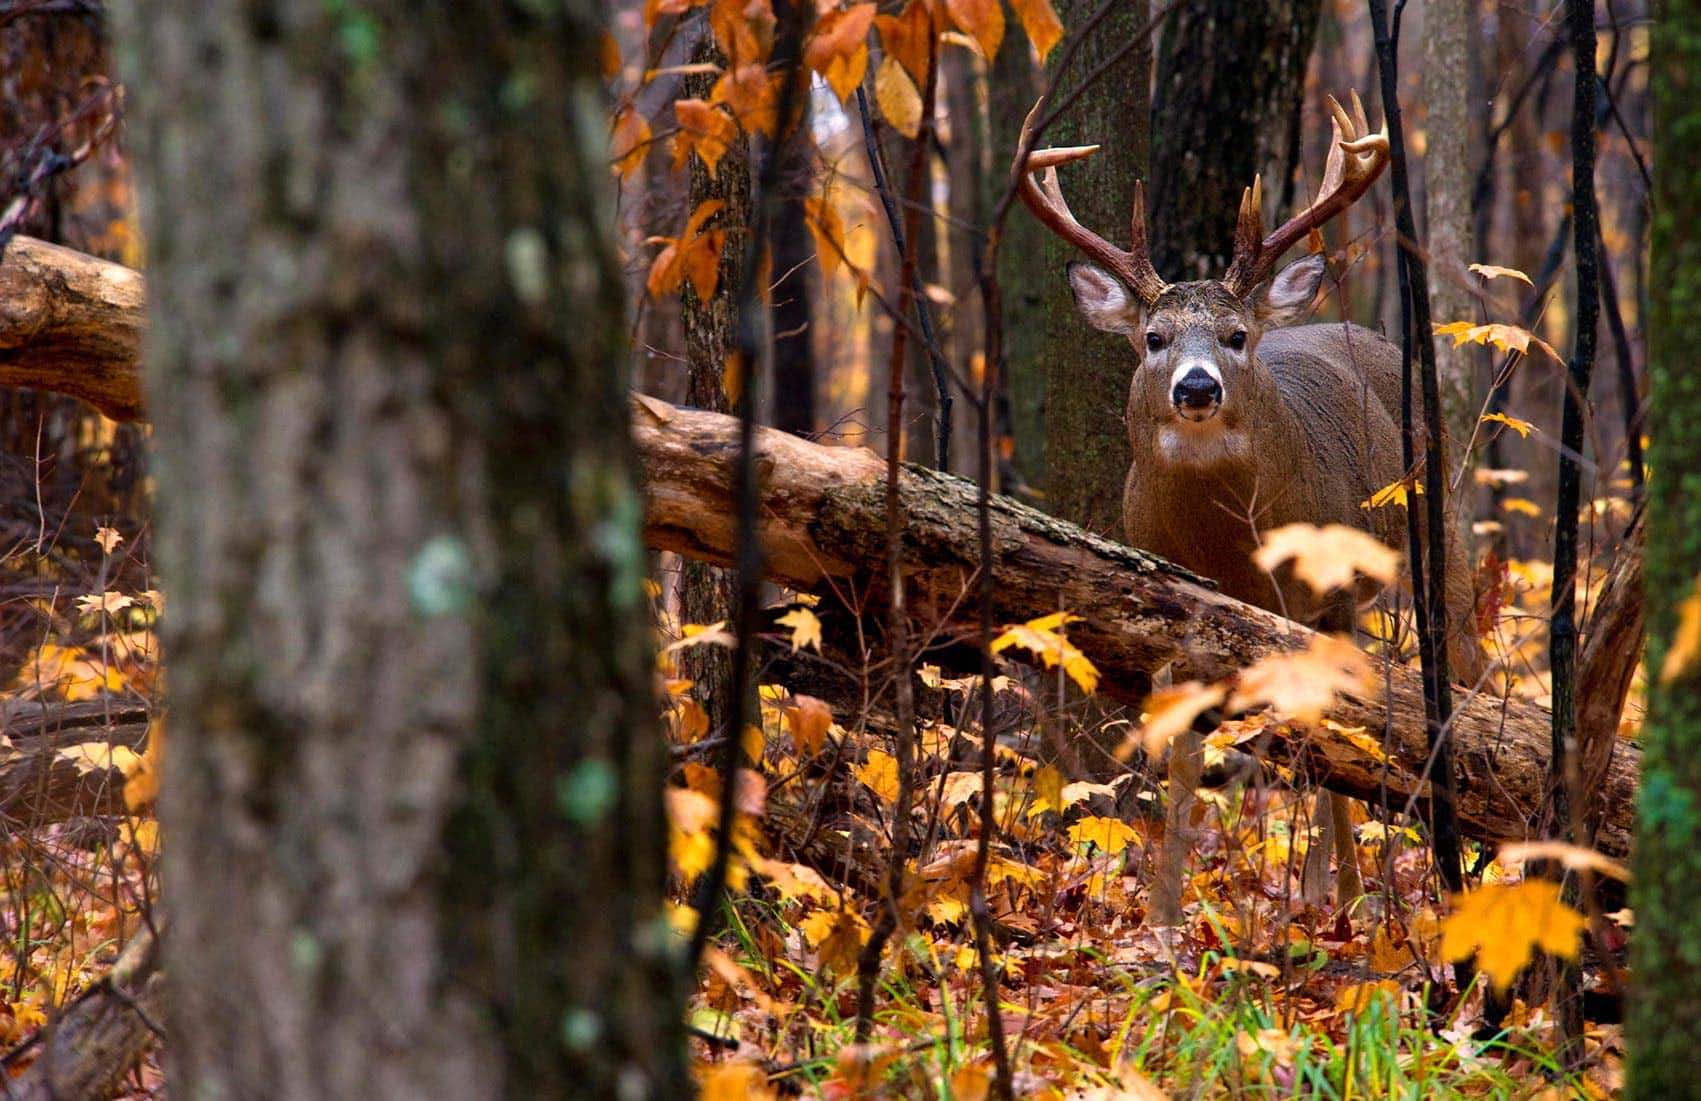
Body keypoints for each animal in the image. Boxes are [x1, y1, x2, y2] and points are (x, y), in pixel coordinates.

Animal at [1013, 94, 1483, 918]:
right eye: (1153, 337)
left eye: (1236, 335)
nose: (1196, 386)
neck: (1235, 551)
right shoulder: (1178, 612)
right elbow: (1183, 755)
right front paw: (1164, 918)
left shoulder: (1323, 595)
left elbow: (1332, 744)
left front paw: (1351, 902)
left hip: (1435, 524)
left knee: (1456, 658)